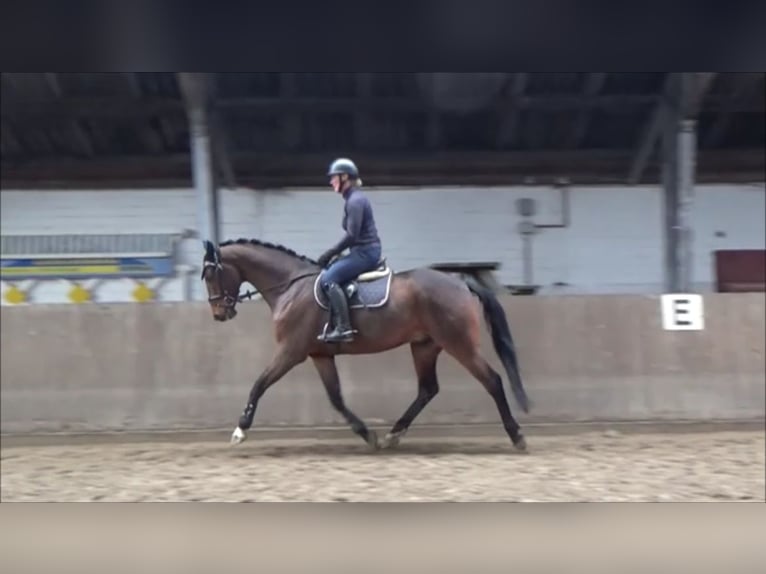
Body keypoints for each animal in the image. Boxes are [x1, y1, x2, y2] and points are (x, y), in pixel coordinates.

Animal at [201, 238, 532, 454]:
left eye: (210, 274)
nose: (219, 314)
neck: (290, 286)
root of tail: (462, 284)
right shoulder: (319, 355)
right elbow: (336, 398)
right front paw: (367, 435)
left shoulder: (290, 352)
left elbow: (259, 384)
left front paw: (240, 430)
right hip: (425, 346)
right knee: (427, 389)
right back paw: (392, 435)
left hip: (458, 343)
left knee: (492, 380)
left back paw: (517, 436)